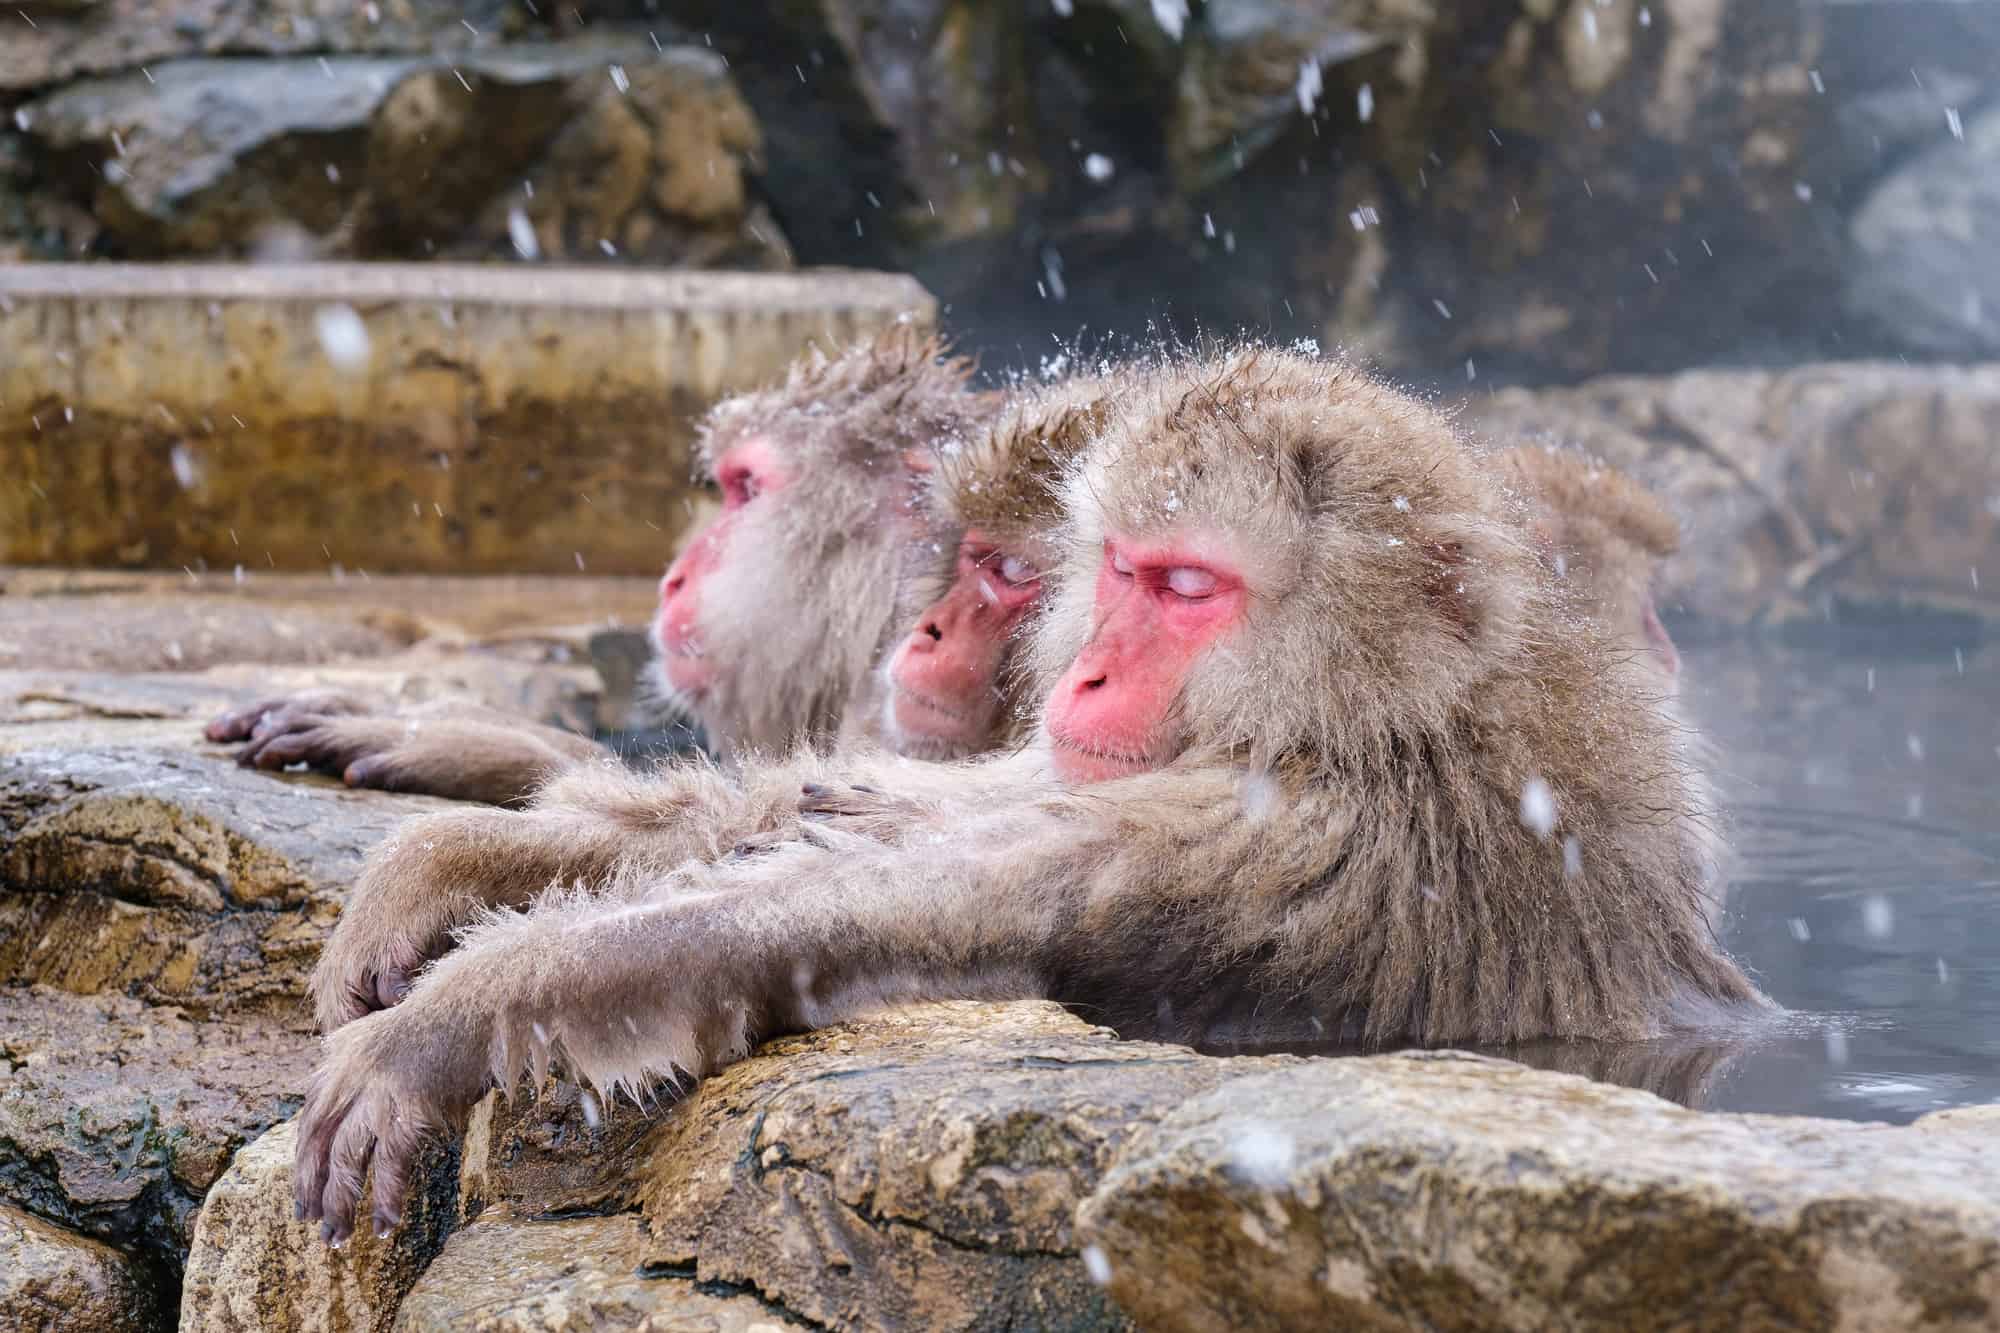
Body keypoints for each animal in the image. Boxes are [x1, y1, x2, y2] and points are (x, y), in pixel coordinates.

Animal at [292, 346, 1768, 1242]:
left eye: (1188, 587)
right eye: (1115, 568)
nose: (1091, 670)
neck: (1384, 723)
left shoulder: (1290, 840)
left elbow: (868, 916)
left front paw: (451, 1018)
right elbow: (838, 805)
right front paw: (455, 838)